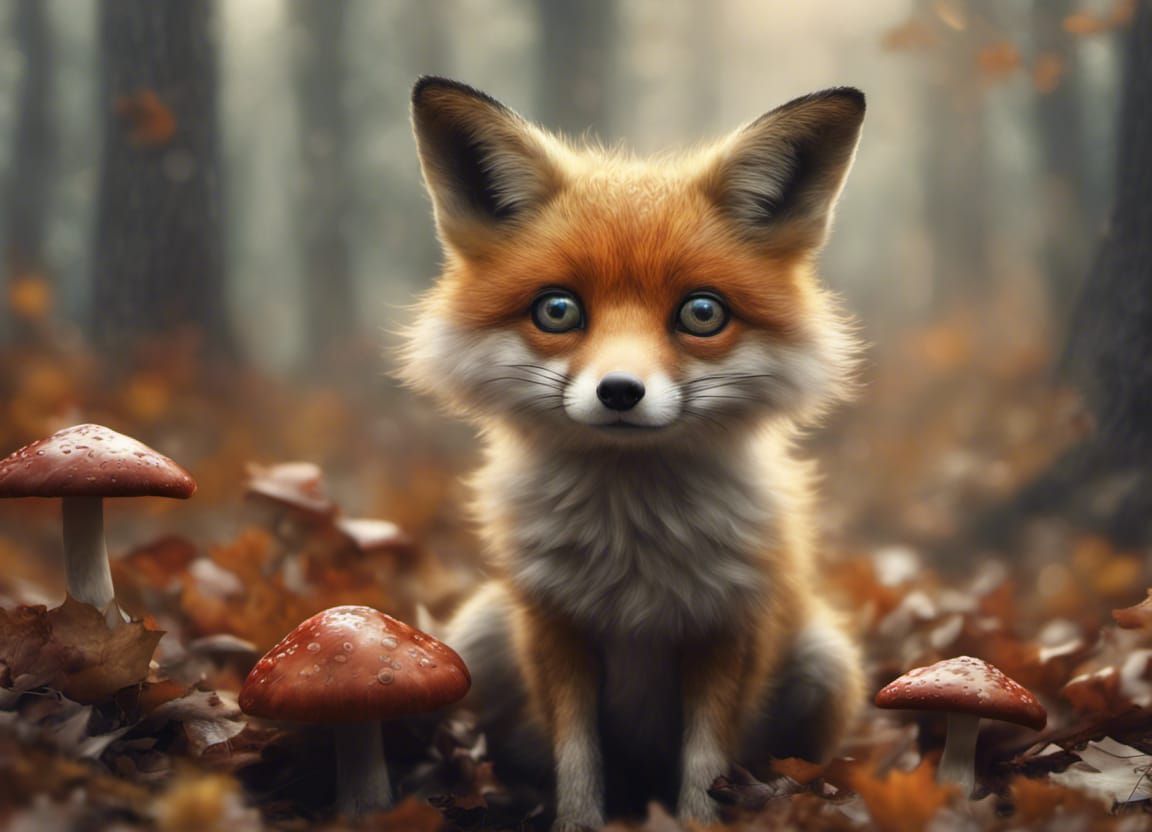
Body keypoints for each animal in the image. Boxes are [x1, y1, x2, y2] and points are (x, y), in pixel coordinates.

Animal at [400, 76, 866, 830]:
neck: (632, 550)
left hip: (828, 665)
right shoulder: (554, 625)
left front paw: (700, 820)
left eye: (701, 313)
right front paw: (576, 822)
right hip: (478, 635)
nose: (619, 391)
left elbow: (706, 771)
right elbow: (577, 765)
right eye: (558, 310)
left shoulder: (727, 628)